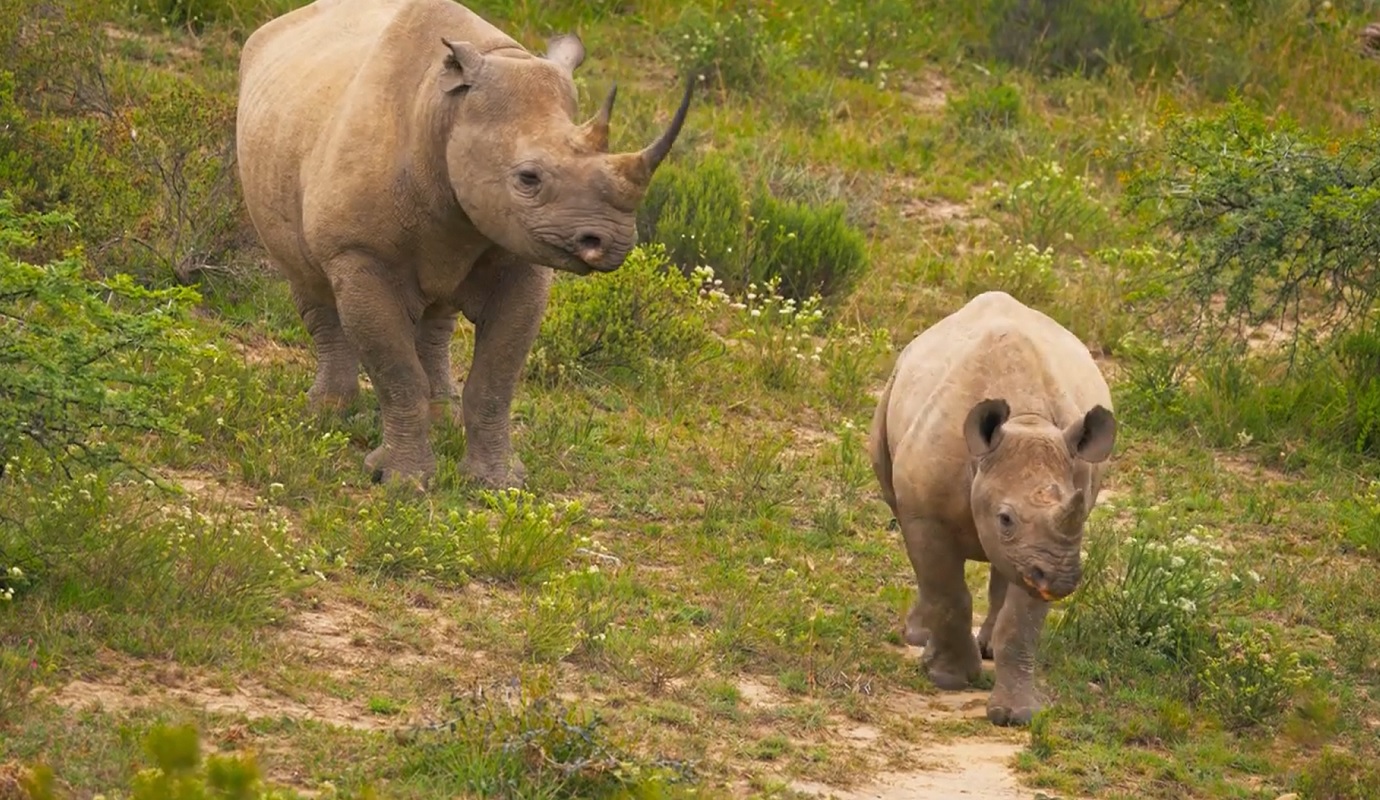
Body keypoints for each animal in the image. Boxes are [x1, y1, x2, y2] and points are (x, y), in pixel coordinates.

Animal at [234, 0, 701, 488]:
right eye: (527, 178)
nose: (611, 242)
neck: (447, 110)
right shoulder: (359, 254)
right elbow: (397, 373)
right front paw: (402, 482)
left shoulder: (523, 258)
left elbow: (497, 378)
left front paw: (498, 482)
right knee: (309, 283)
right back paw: (326, 417)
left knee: (439, 309)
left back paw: (444, 418)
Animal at [872, 292, 1120, 722]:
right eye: (1005, 518)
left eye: (1079, 515)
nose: (1063, 579)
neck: (1027, 422)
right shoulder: (926, 516)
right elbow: (949, 596)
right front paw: (949, 678)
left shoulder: (1047, 548)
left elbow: (1021, 622)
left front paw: (1015, 716)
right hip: (894, 389)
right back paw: (919, 638)